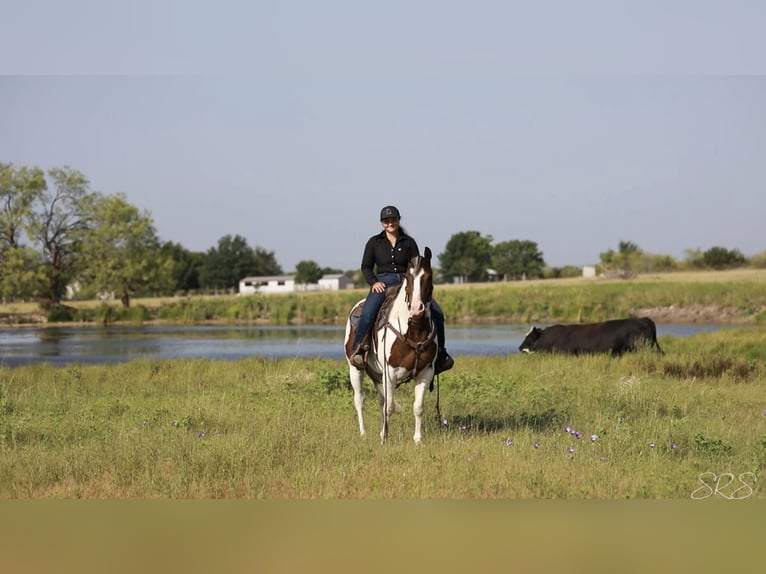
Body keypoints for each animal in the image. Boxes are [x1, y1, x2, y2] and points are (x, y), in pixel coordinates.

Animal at [344, 248, 440, 446]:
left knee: (381, 400)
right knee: (360, 400)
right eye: (408, 277)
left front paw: (417, 440)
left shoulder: (426, 371)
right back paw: (363, 433)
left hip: (377, 375)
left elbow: (418, 407)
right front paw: (385, 438)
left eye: (428, 276)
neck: (414, 330)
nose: (417, 309)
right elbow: (388, 408)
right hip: (355, 368)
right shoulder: (390, 372)